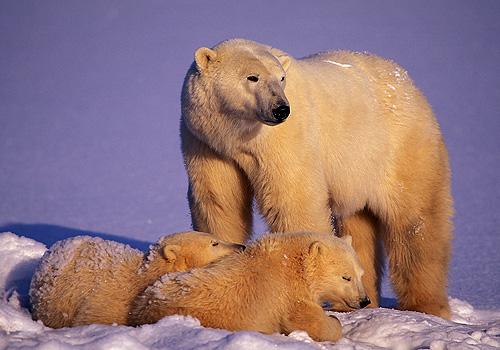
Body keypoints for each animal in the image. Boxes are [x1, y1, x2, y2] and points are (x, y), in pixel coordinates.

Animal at [181, 37, 454, 318]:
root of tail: (407, 82)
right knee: (358, 223)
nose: (281, 109)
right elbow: (220, 203)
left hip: (399, 148)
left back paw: (424, 305)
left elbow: (294, 202)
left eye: (281, 78)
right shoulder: (208, 144)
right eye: (252, 77)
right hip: (357, 173)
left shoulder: (287, 140)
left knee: (417, 222)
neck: (238, 136)